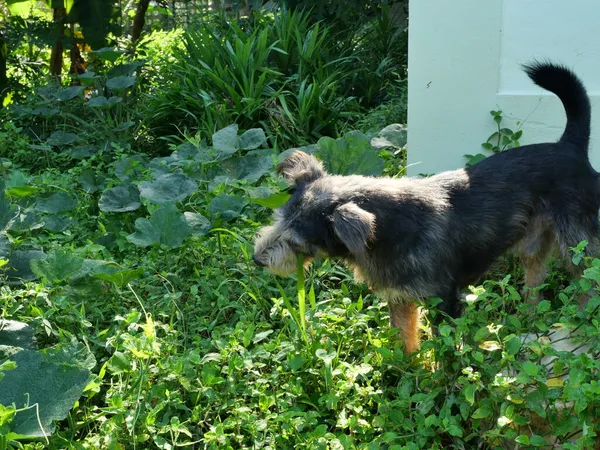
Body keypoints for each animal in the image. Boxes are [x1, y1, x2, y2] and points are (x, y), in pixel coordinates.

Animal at [252, 61, 600, 354]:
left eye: (295, 241)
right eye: (277, 220)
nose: (256, 259)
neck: (386, 230)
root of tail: (569, 147)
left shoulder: (445, 301)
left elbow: (446, 354)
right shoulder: (401, 298)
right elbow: (404, 341)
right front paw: (407, 374)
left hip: (580, 247)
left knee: (588, 285)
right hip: (534, 247)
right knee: (535, 284)